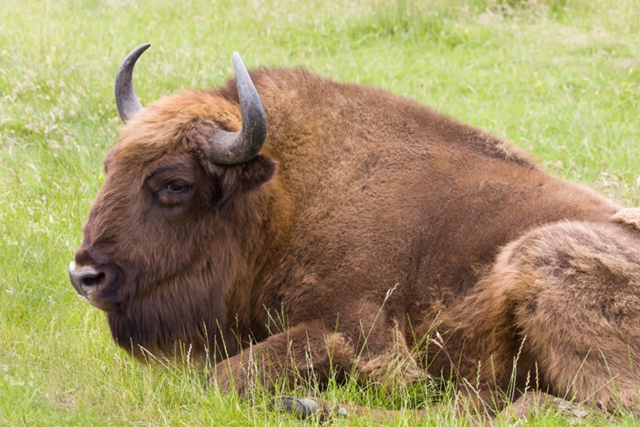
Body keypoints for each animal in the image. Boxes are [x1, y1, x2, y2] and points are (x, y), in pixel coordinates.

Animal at [67, 43, 640, 422]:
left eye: (174, 183)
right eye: (109, 166)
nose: (84, 275)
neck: (289, 192)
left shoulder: (360, 333)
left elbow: (225, 376)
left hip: (540, 255)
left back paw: (306, 404)